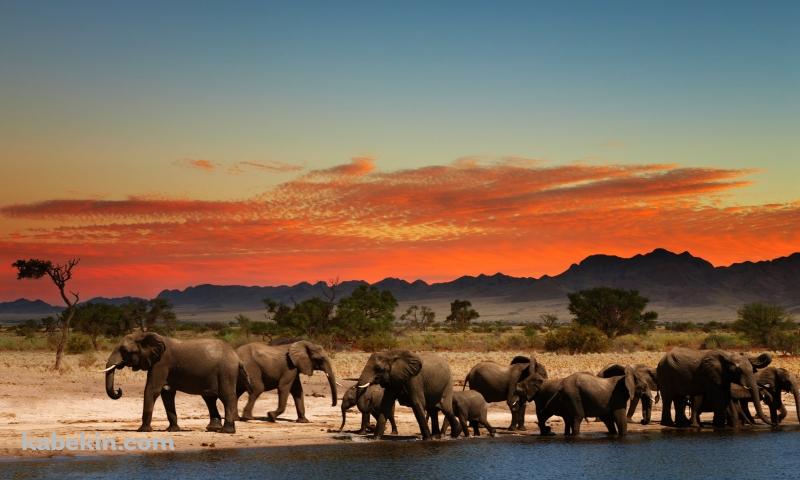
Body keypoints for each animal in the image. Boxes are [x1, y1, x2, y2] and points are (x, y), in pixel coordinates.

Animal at [103, 332, 250, 434]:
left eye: (125, 351)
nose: (119, 390)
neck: (144, 335)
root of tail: (237, 357)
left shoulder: (161, 363)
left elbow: (152, 390)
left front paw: (143, 430)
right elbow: (167, 394)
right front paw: (172, 430)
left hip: (226, 371)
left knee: (226, 397)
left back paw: (226, 431)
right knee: (209, 398)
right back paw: (212, 428)